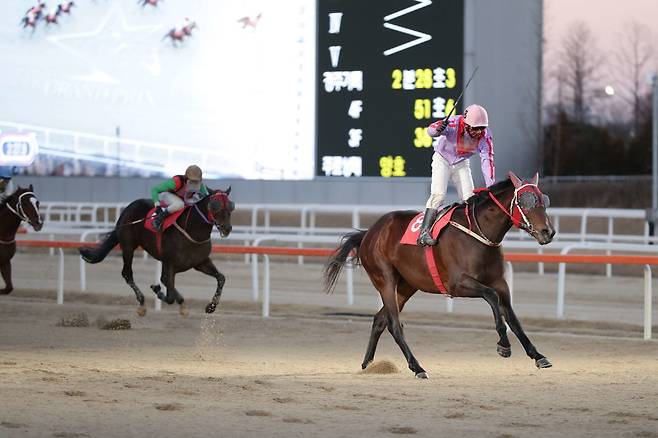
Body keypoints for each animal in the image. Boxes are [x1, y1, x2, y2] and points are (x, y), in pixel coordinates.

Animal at [79, 186, 233, 316]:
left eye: (231, 206)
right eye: (215, 205)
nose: (227, 228)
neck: (191, 230)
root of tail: (128, 209)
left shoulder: (200, 262)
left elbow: (221, 278)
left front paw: (211, 306)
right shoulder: (169, 263)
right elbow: (169, 292)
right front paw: (159, 292)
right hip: (128, 246)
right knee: (127, 274)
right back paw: (142, 304)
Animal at [322, 173, 552, 378]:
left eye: (544, 201)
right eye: (526, 202)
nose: (548, 232)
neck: (478, 233)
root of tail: (369, 232)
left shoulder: (500, 282)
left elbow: (513, 318)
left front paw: (537, 355)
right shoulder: (457, 284)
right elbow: (492, 297)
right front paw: (503, 345)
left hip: (407, 285)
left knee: (380, 319)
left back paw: (368, 364)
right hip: (384, 279)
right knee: (394, 324)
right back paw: (417, 367)